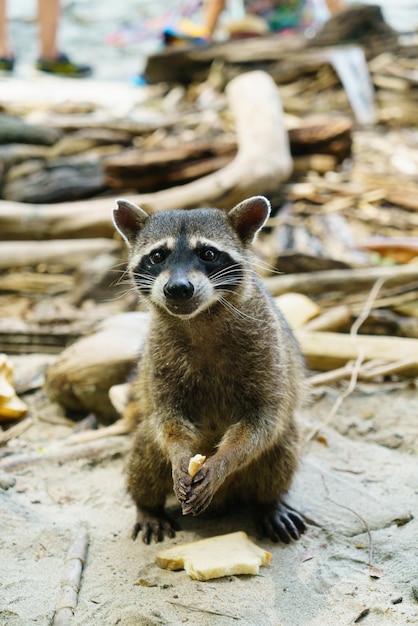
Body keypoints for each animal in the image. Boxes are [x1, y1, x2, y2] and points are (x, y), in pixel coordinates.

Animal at [112, 194, 306, 540]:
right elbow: (168, 419)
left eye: (209, 254)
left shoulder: (267, 345)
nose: (178, 288)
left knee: (283, 443)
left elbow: (264, 420)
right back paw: (146, 505)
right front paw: (179, 456)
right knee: (146, 447)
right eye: (157, 256)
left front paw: (223, 461)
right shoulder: (158, 355)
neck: (199, 319)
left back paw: (269, 502)